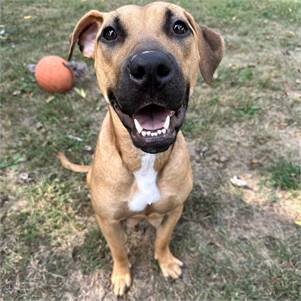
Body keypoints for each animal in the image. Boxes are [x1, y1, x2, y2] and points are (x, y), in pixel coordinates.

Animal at [58, 1, 223, 294]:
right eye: (109, 33)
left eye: (179, 27)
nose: (150, 67)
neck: (145, 159)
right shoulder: (109, 221)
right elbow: (119, 251)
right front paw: (121, 275)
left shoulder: (174, 210)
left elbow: (162, 240)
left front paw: (166, 262)